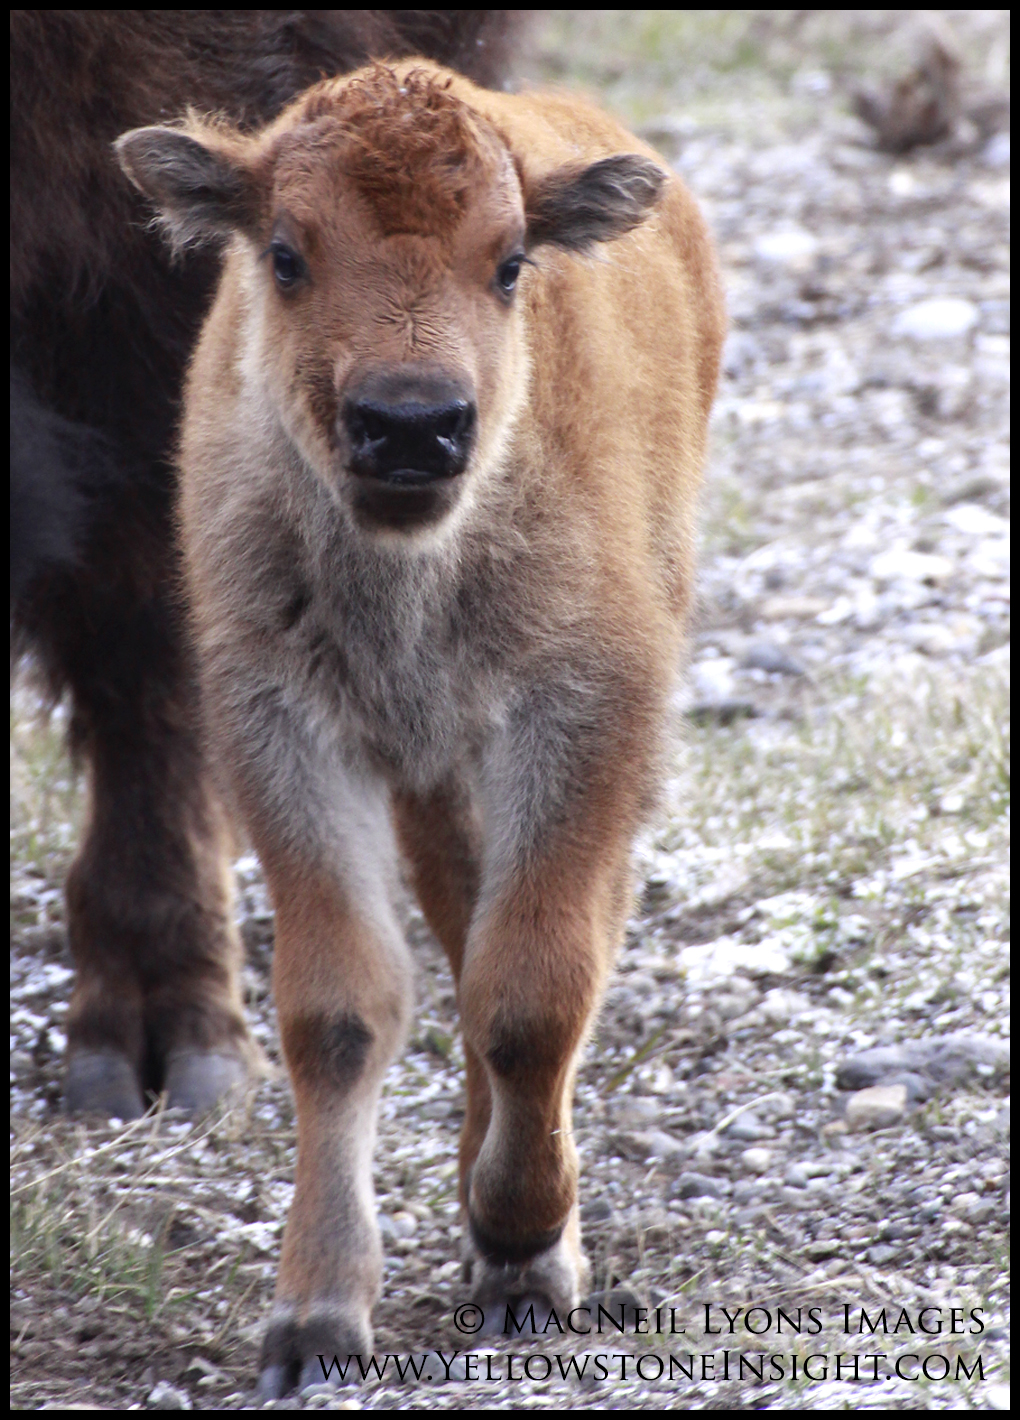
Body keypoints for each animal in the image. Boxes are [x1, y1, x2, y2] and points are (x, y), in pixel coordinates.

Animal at [115, 52, 727, 1385]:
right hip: (435, 773)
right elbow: (343, 1008)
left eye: (509, 260)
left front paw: (525, 1244)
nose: (410, 424)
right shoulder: (285, 729)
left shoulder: (582, 712)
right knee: (458, 926)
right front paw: (315, 1317)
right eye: (285, 252)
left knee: (545, 946)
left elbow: (536, 991)